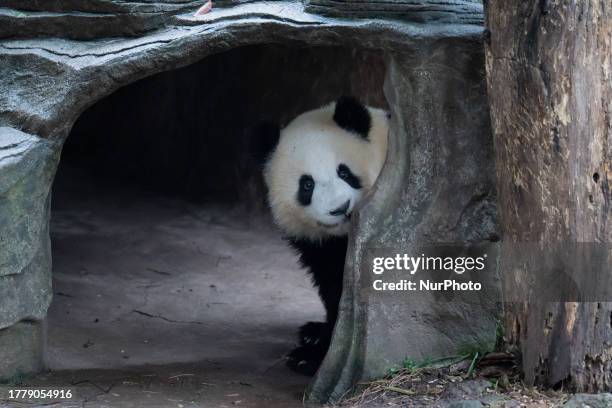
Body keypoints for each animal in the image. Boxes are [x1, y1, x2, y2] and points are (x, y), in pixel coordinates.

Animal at [256, 95, 390, 372]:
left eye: (344, 172)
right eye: (307, 185)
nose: (340, 208)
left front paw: (312, 356)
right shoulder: (322, 246)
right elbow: (333, 286)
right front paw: (317, 347)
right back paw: (311, 331)